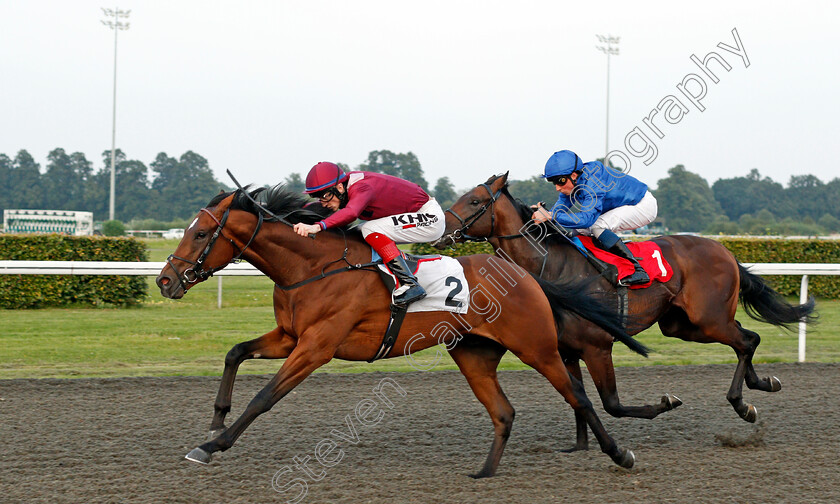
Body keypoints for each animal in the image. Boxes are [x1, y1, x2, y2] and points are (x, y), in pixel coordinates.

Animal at [158, 185, 644, 476]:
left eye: (200, 234)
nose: (165, 280)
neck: (312, 267)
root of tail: (523, 274)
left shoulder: (316, 347)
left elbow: (264, 397)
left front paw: (213, 445)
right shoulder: (290, 337)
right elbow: (235, 352)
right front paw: (215, 419)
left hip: (537, 347)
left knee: (579, 397)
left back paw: (620, 454)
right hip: (473, 352)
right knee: (504, 411)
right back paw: (485, 471)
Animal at [436, 172, 816, 448]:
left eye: (474, 200)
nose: (440, 230)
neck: (553, 266)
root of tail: (724, 250)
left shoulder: (598, 346)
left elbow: (612, 404)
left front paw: (665, 403)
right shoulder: (565, 350)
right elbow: (577, 397)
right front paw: (579, 447)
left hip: (708, 320)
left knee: (746, 341)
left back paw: (742, 403)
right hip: (683, 325)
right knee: (744, 338)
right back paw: (761, 385)